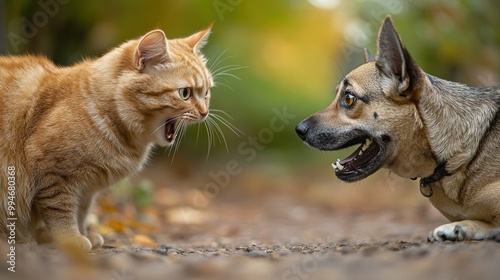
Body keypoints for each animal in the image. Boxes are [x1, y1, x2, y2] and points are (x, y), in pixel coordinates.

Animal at [0, 25, 213, 250]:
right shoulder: (55, 175)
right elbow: (61, 212)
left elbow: (81, 212)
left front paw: (83, 234)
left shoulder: (87, 189)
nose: (205, 112)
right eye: (185, 93)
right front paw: (71, 239)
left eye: (206, 93)